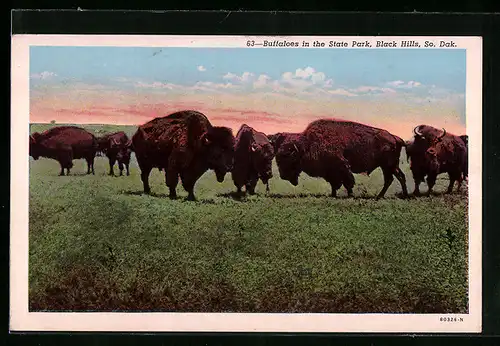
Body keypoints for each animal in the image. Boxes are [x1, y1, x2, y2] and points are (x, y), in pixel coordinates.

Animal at [276, 119, 408, 199]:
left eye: (290, 158)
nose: (283, 176)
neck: (308, 145)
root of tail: (395, 138)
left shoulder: (342, 167)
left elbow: (347, 182)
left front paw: (350, 195)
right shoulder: (330, 172)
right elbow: (334, 184)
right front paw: (333, 195)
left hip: (388, 165)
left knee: (394, 178)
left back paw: (388, 196)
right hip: (389, 166)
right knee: (394, 178)